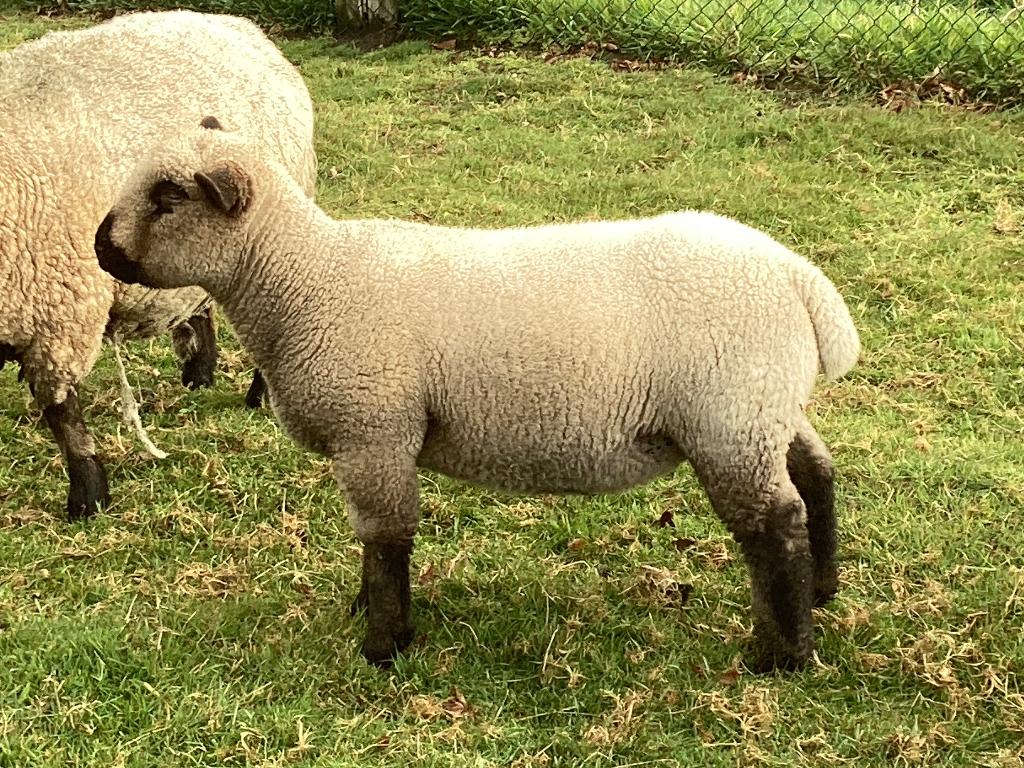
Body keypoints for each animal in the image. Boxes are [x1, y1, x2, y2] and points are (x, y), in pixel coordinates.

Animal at [0, 10, 315, 519]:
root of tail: (241, 27)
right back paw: (199, 376)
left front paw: (89, 495)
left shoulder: (57, 314)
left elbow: (63, 414)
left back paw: (257, 396)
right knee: (199, 304)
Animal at [95, 128, 860, 673]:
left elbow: (387, 540)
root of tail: (796, 276)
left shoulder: (374, 431)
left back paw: (781, 655)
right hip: (763, 408)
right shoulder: (370, 439)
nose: (101, 247)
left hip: (728, 417)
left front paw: (384, 645)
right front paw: (365, 611)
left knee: (774, 523)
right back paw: (823, 589)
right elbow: (372, 540)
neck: (306, 281)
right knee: (816, 472)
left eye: (169, 196)